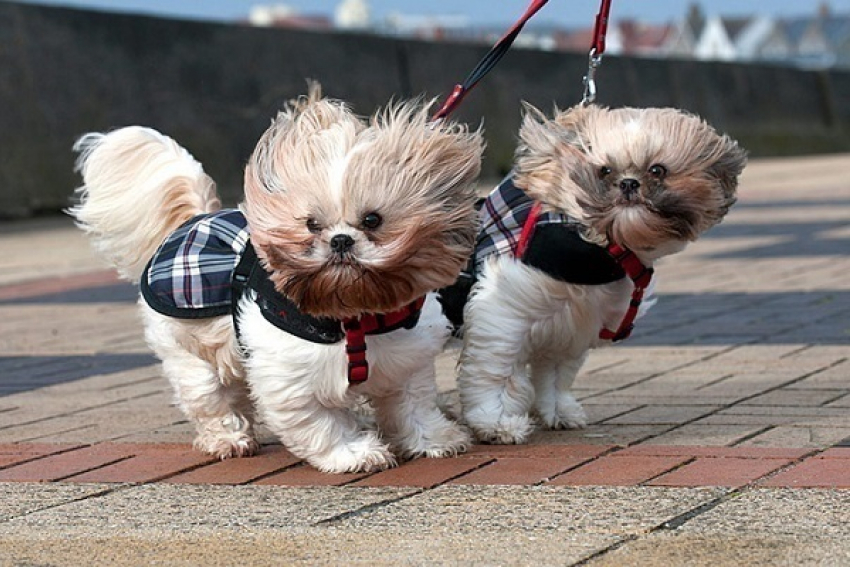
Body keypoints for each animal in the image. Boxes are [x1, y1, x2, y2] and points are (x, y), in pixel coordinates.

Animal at [69, 85, 484, 474]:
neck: (353, 318)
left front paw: (435, 439)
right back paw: (228, 439)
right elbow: (321, 424)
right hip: (186, 350)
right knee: (209, 397)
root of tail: (195, 219)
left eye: (372, 219)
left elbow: (412, 406)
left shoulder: (406, 362)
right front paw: (354, 453)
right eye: (311, 224)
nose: (340, 240)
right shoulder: (289, 379)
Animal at [450, 104, 744, 446]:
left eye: (657, 170)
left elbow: (556, 375)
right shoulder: (503, 313)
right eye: (604, 170)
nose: (628, 183)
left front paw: (558, 411)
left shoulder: (569, 325)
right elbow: (496, 372)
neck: (601, 247)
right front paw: (496, 422)